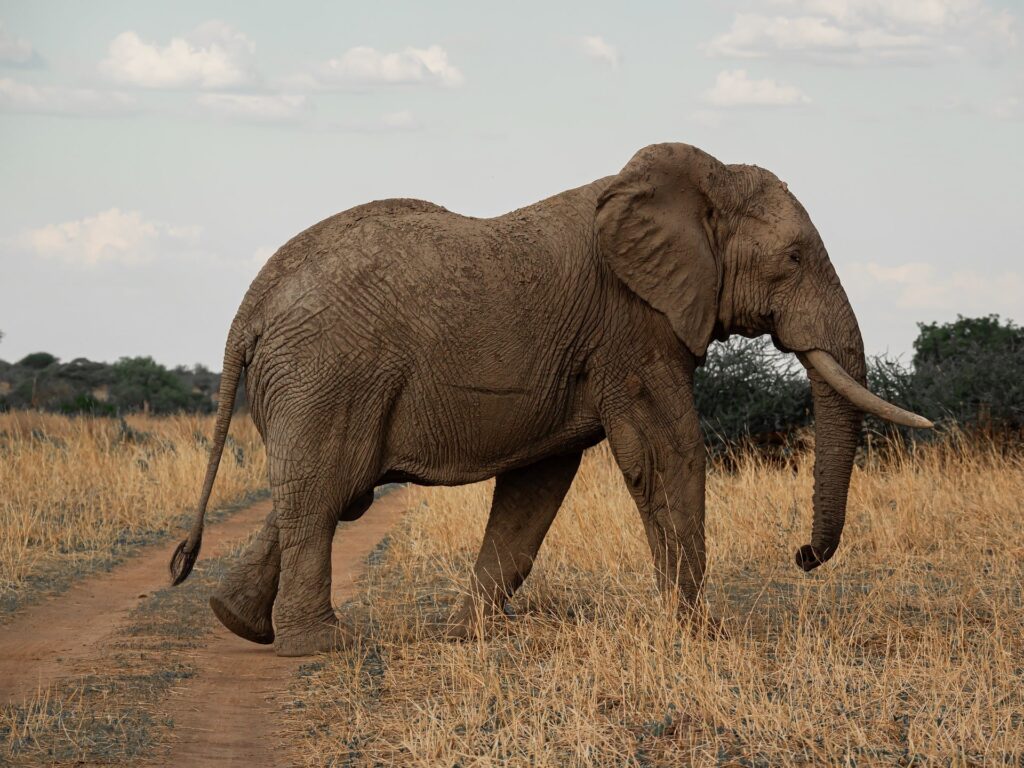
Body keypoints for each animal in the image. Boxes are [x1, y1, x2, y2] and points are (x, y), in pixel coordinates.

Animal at [169, 142, 931, 657]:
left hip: (313, 380)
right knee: (324, 490)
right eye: (794, 259)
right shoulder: (633, 327)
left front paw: (467, 635)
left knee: (321, 489)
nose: (802, 555)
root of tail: (250, 306)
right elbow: (668, 454)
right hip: (328, 372)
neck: (694, 183)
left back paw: (237, 622)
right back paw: (325, 645)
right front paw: (701, 634)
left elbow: (538, 484)